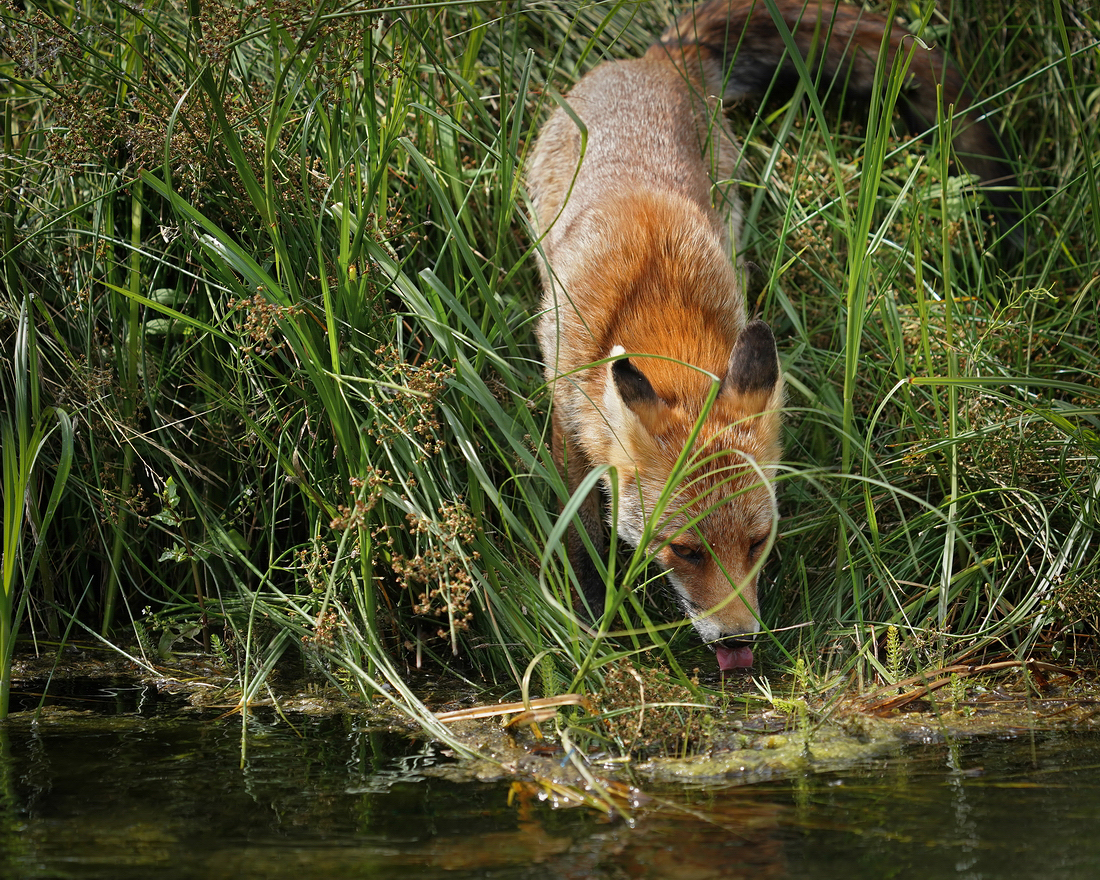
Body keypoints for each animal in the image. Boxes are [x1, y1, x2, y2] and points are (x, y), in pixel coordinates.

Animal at [528, 0, 1016, 668]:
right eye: (686, 550)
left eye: (759, 542)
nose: (739, 641)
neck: (660, 306)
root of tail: (658, 60)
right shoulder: (567, 413)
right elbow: (578, 537)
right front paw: (587, 616)